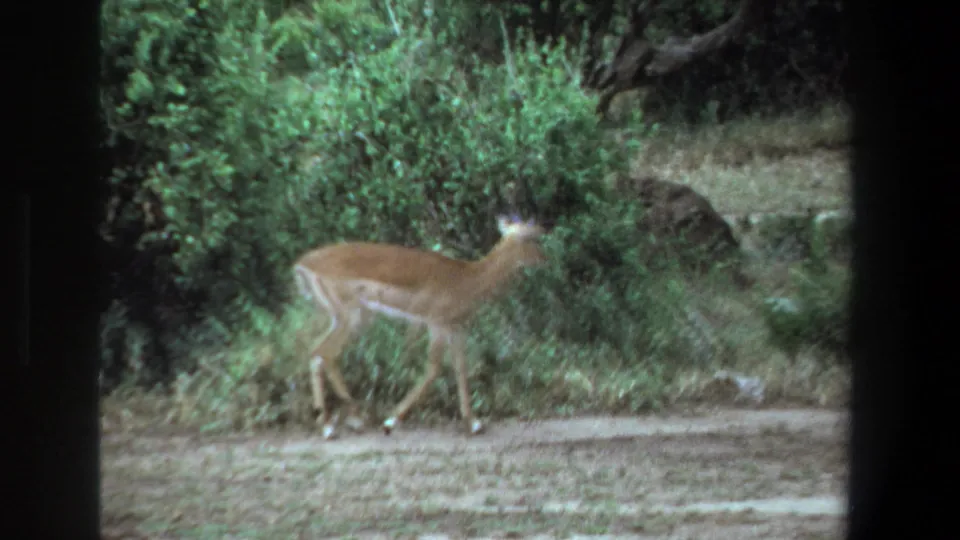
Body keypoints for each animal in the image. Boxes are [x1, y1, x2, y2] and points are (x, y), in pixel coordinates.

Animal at [293, 215, 548, 439]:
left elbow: (461, 368)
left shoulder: (456, 328)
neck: (470, 278)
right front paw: (390, 422)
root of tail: (303, 264)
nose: (543, 258)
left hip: (352, 318)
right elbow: (434, 369)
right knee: (325, 354)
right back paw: (339, 425)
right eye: (530, 238)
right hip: (351, 317)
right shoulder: (436, 324)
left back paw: (337, 423)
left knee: (317, 353)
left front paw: (474, 424)